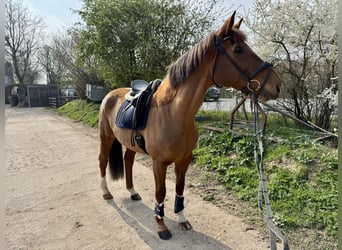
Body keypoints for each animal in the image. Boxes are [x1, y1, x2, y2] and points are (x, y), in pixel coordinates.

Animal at [97, 11, 282, 240]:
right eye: (238, 50)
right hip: (106, 137)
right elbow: (161, 192)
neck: (174, 114)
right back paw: (106, 193)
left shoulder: (184, 160)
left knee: (128, 161)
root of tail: (110, 94)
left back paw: (132, 192)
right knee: (103, 161)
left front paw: (182, 219)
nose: (277, 84)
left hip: (130, 143)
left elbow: (179, 188)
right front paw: (161, 226)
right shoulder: (159, 163)